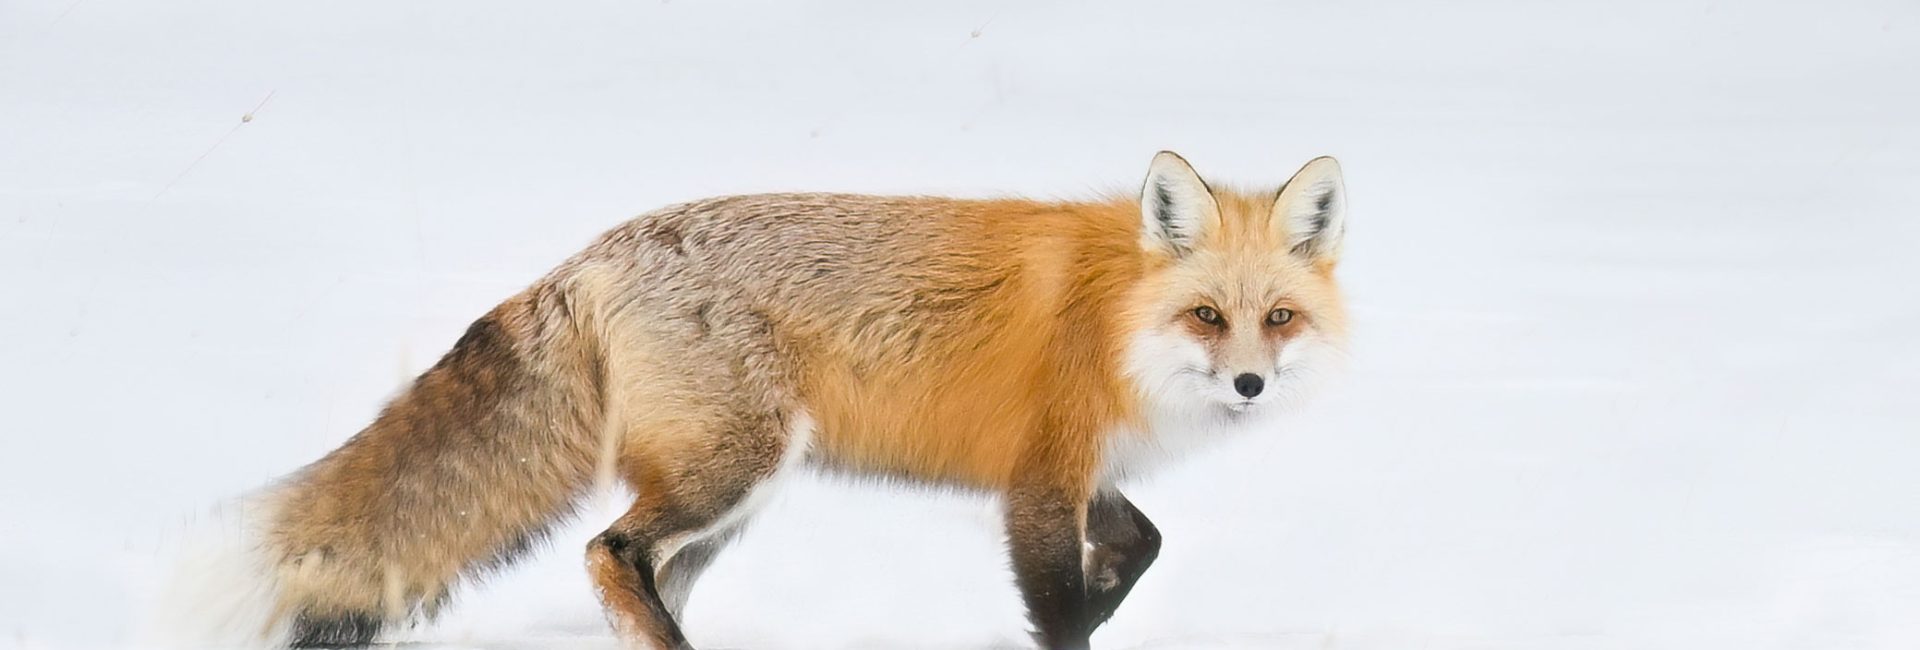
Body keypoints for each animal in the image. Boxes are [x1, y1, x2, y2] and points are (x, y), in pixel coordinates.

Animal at [243, 150, 1351, 648]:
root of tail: (591, 255)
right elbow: (1066, 611)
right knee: (606, 550)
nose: (1249, 384)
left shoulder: (1088, 476)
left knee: (646, 571)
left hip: (732, 497)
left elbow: (1139, 548)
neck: (1116, 322)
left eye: (1276, 319)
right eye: (1207, 315)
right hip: (734, 470)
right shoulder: (1039, 483)